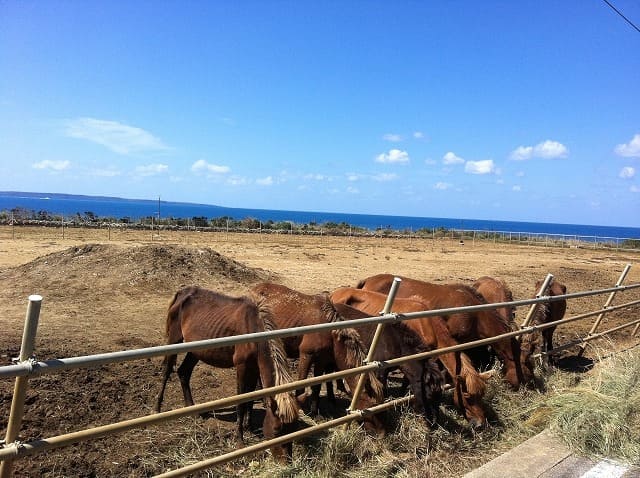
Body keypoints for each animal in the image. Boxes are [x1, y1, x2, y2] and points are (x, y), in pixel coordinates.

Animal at [154, 286, 298, 462]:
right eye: (277, 430)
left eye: (294, 428)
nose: (287, 461)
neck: (254, 329)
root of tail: (183, 292)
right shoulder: (242, 367)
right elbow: (241, 401)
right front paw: (240, 440)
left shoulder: (253, 368)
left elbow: (250, 398)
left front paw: (248, 426)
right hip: (174, 341)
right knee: (167, 371)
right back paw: (157, 408)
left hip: (196, 350)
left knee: (183, 372)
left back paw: (192, 410)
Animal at [249, 284, 384, 436]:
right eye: (372, 405)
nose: (382, 433)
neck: (329, 331)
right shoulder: (306, 355)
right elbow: (302, 383)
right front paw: (303, 410)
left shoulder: (321, 360)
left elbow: (316, 386)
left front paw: (315, 412)